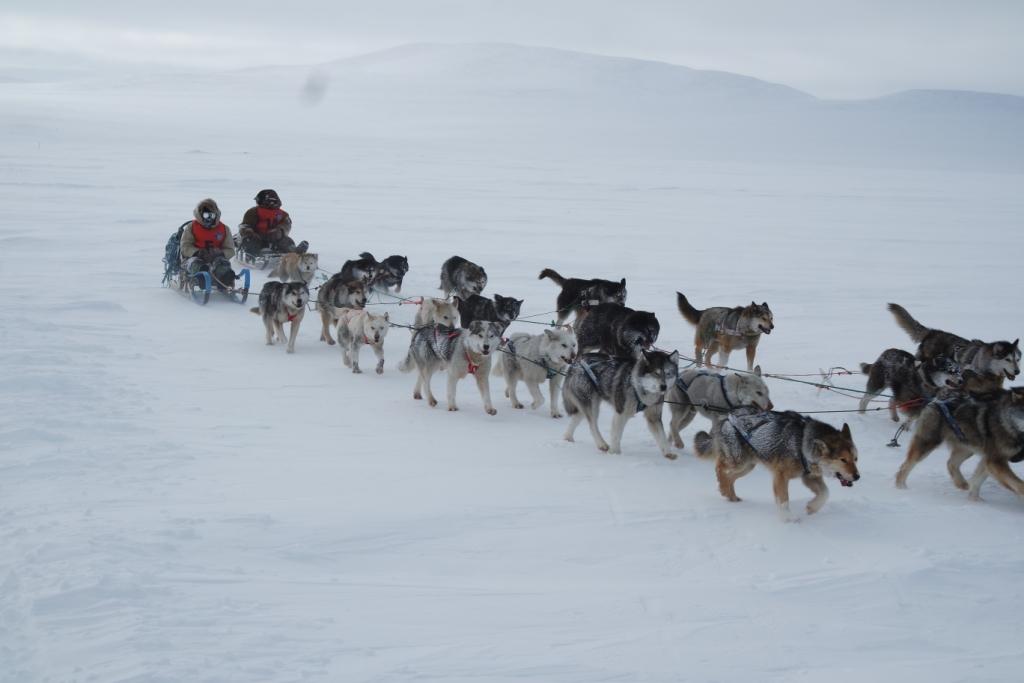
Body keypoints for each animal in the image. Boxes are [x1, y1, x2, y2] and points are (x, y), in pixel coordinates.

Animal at [892, 389, 1024, 497]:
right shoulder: (995, 460)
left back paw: (961, 483)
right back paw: (901, 487)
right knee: (906, 465)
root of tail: (938, 397)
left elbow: (977, 480)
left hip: (967, 447)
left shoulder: (990, 459)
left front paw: (975, 502)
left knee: (951, 463)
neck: (1007, 422)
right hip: (927, 442)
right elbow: (1019, 484)